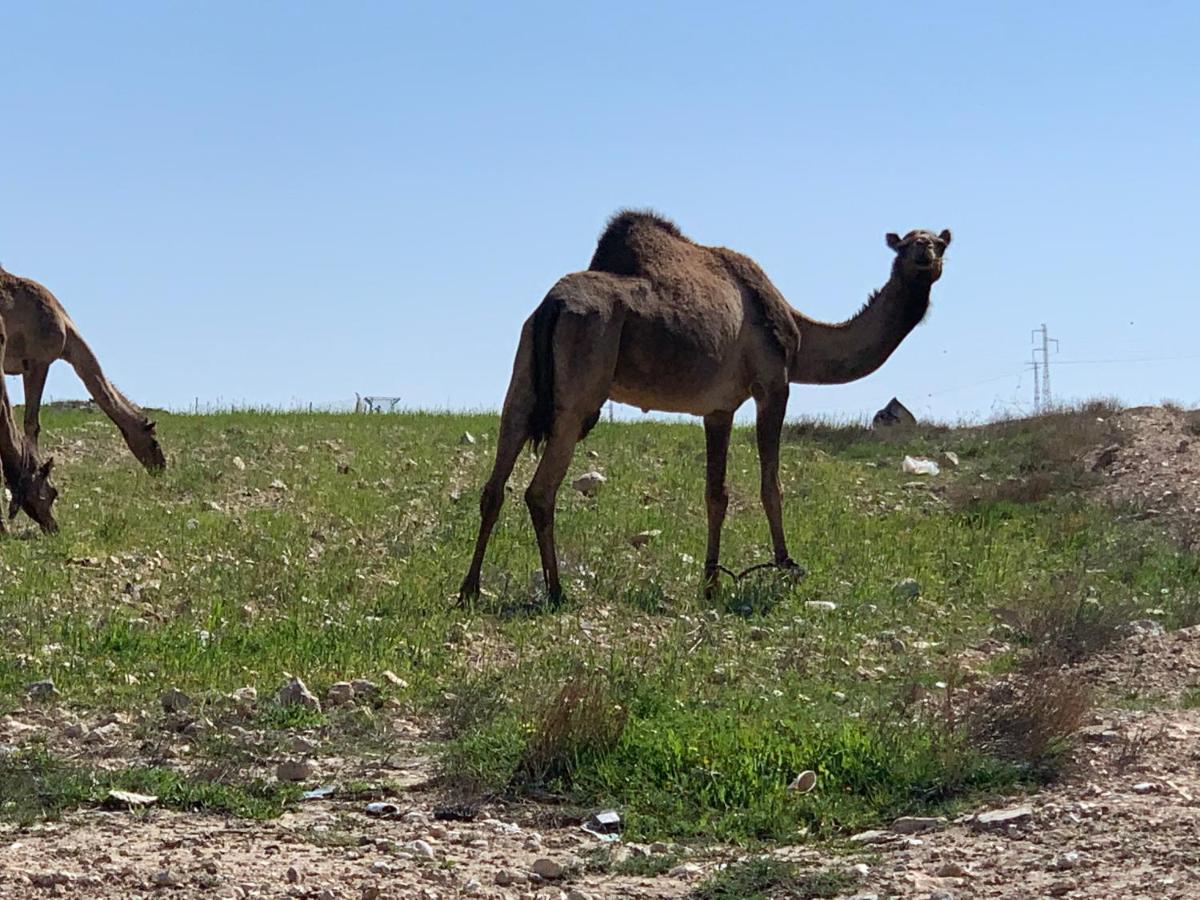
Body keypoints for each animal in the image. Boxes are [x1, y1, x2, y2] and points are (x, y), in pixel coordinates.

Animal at [453, 212, 950, 602]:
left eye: (938, 242)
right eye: (909, 242)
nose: (925, 254)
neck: (800, 336)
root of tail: (551, 306)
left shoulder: (719, 408)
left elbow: (717, 493)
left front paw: (711, 582)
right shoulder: (774, 383)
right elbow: (771, 485)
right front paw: (785, 565)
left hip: (523, 378)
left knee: (496, 480)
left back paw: (470, 587)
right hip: (579, 391)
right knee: (541, 490)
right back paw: (556, 591)